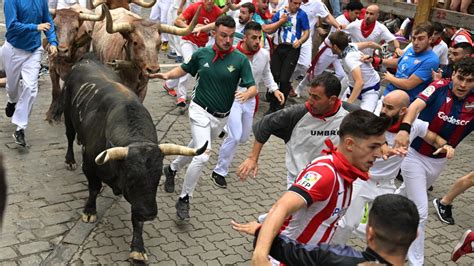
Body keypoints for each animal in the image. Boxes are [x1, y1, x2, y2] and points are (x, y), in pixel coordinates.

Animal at [52, 54, 207, 262]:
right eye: (131, 177)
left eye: (158, 177)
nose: (150, 214)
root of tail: (87, 59)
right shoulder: (90, 165)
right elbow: (94, 189)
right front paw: (89, 211)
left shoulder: (140, 199)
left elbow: (136, 218)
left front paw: (138, 248)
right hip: (68, 116)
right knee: (69, 136)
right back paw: (70, 160)